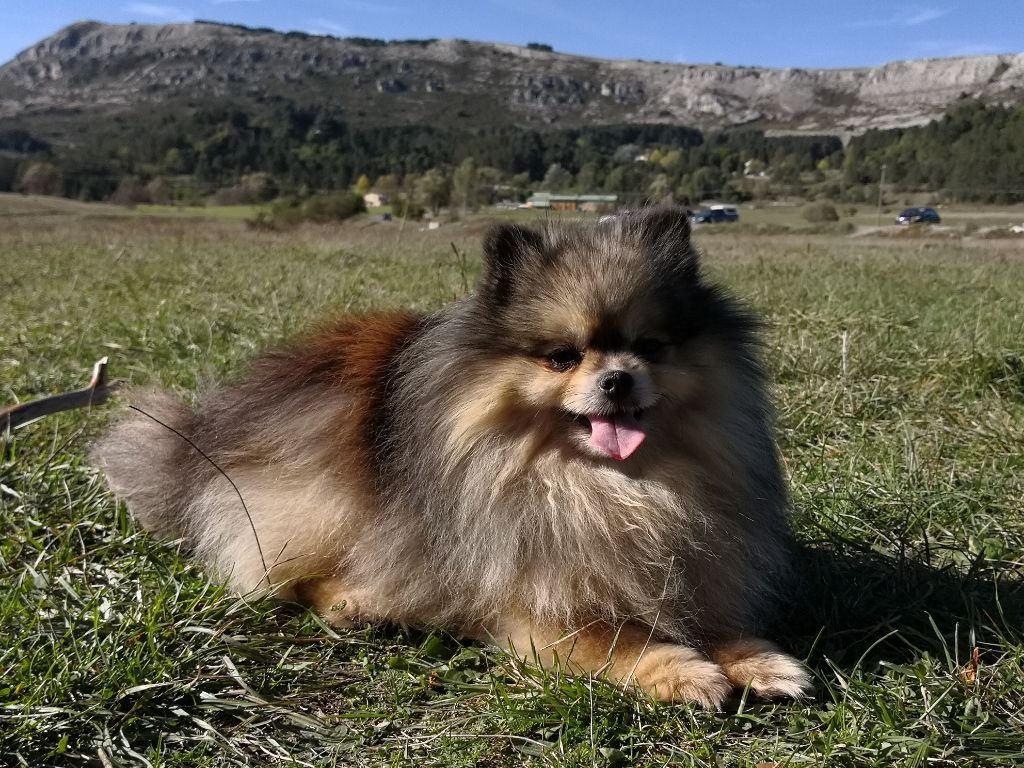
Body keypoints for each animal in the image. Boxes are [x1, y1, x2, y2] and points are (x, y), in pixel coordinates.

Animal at [94, 206, 811, 707]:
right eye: (562, 357)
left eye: (651, 348)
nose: (617, 380)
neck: (609, 487)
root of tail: (204, 439)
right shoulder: (533, 597)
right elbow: (614, 636)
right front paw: (682, 670)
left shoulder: (685, 559)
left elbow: (705, 611)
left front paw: (753, 658)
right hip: (324, 497)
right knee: (299, 573)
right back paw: (357, 602)